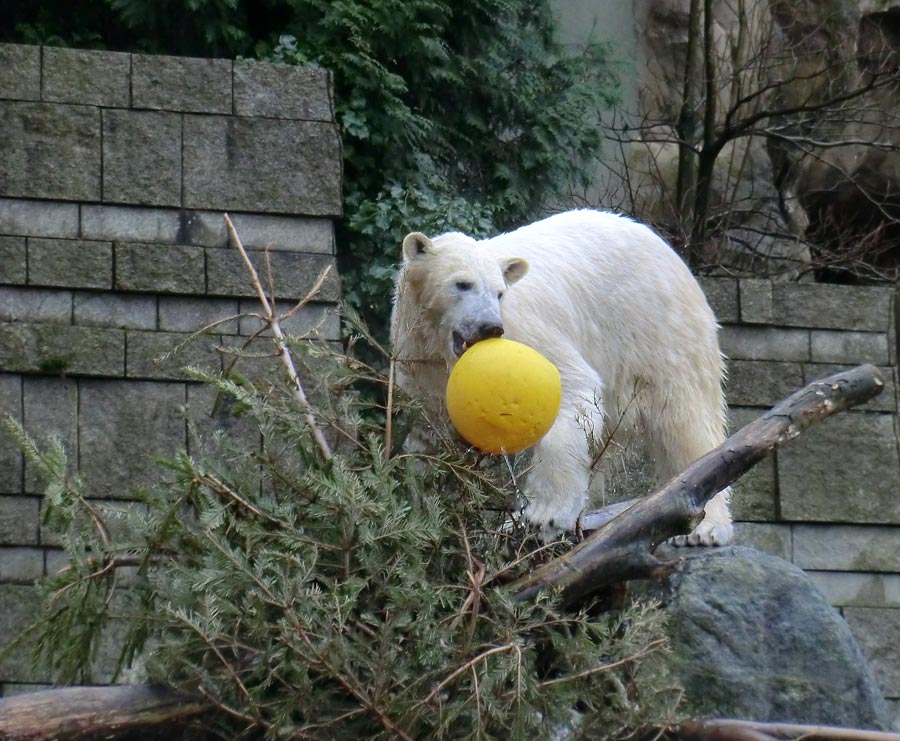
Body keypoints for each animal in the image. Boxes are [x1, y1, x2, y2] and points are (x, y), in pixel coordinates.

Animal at [392, 208, 732, 544]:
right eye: (462, 284)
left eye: (500, 292)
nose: (490, 327)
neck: (443, 348)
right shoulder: (419, 357)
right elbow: (430, 429)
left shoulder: (525, 334)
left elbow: (570, 388)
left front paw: (545, 516)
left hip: (658, 330)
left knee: (685, 420)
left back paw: (705, 525)